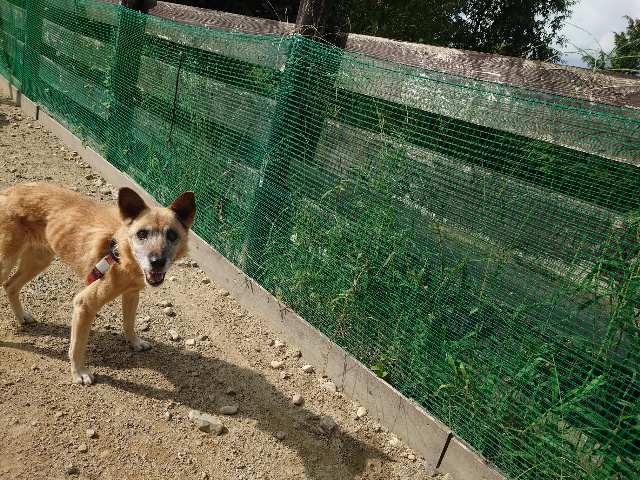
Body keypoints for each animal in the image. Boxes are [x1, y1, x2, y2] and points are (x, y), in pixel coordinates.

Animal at [0, 182, 196, 385]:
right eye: (142, 234)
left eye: (172, 235)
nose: (157, 262)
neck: (121, 254)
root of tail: (9, 191)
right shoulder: (84, 303)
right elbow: (78, 346)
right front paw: (79, 372)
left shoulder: (132, 293)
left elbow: (129, 323)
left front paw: (135, 342)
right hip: (8, 262)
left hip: (39, 260)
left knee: (10, 285)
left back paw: (22, 316)